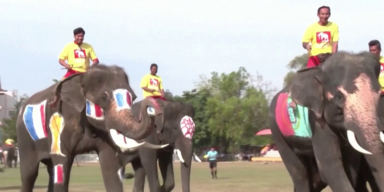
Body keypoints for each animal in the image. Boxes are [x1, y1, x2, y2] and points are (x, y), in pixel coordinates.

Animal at [15, 64, 166, 192]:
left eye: (133, 98)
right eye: (103, 98)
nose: (154, 108)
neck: (82, 77)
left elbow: (110, 165)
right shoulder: (61, 121)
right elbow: (62, 163)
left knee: (50, 169)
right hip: (25, 138)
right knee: (29, 173)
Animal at [268, 51, 384, 192]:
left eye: (379, 95)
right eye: (339, 97)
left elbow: (351, 167)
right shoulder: (317, 121)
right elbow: (329, 167)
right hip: (277, 132)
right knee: (299, 173)